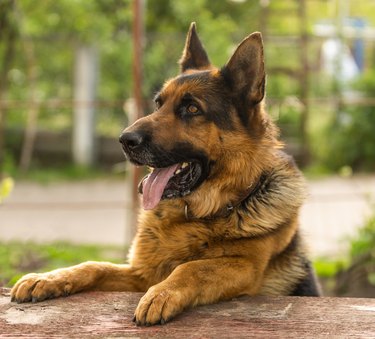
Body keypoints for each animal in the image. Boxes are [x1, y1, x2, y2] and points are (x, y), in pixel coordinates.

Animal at [11, 22, 320, 326]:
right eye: (159, 104)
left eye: (192, 108)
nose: (124, 140)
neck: (198, 214)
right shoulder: (142, 274)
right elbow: (95, 265)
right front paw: (49, 277)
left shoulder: (246, 267)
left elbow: (192, 267)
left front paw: (162, 294)